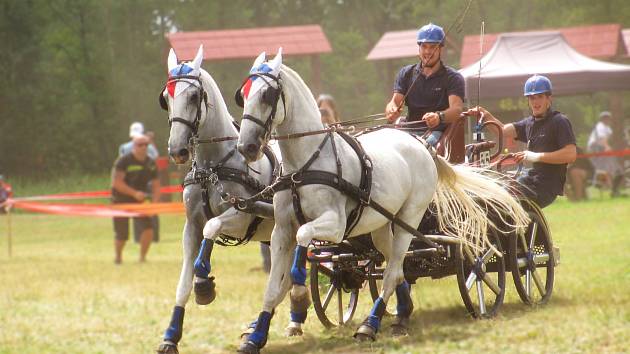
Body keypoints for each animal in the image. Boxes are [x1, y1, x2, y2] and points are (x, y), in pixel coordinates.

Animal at [157, 45, 306, 354]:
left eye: (193, 96)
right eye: (166, 98)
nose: (177, 150)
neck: (213, 166)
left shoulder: (241, 216)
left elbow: (211, 227)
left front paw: (204, 284)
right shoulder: (190, 226)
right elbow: (183, 283)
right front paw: (170, 336)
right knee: (284, 278)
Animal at [235, 49, 532, 352]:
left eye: (267, 95)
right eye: (243, 96)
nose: (246, 147)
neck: (306, 163)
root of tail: (421, 146)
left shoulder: (335, 225)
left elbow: (303, 239)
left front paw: (297, 294)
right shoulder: (282, 230)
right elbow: (273, 286)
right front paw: (256, 335)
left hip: (408, 220)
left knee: (393, 271)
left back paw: (370, 324)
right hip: (381, 225)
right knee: (396, 267)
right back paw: (401, 315)